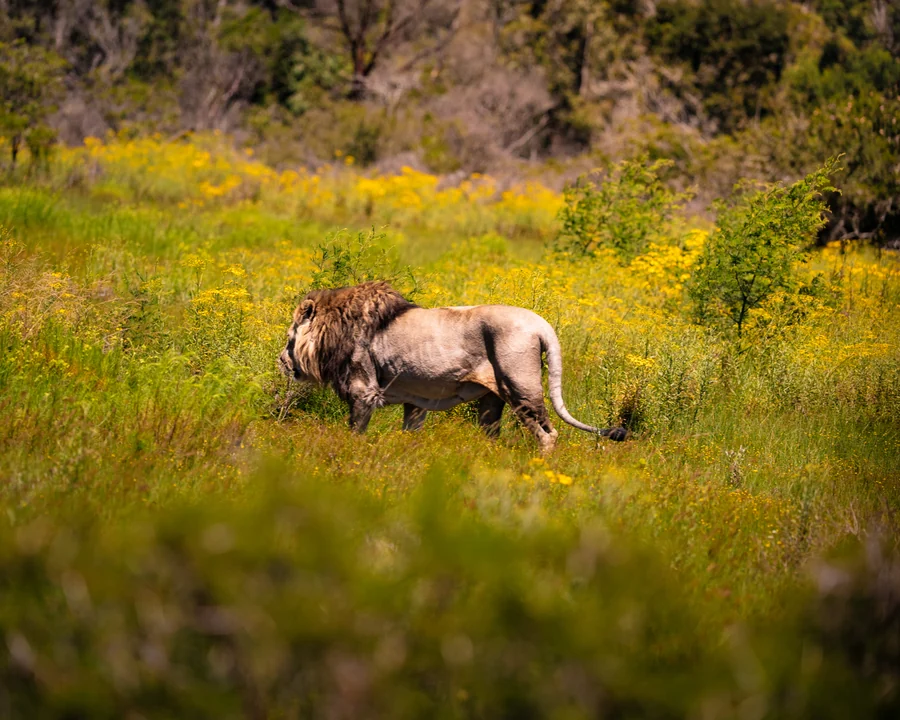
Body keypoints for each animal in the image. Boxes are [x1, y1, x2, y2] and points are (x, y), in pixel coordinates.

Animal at [278, 281, 626, 453]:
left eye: (289, 338)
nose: (281, 361)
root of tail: (542, 324)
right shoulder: (414, 400)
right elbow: (411, 434)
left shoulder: (363, 392)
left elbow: (355, 433)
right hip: (492, 400)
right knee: (493, 434)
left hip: (521, 387)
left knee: (548, 434)